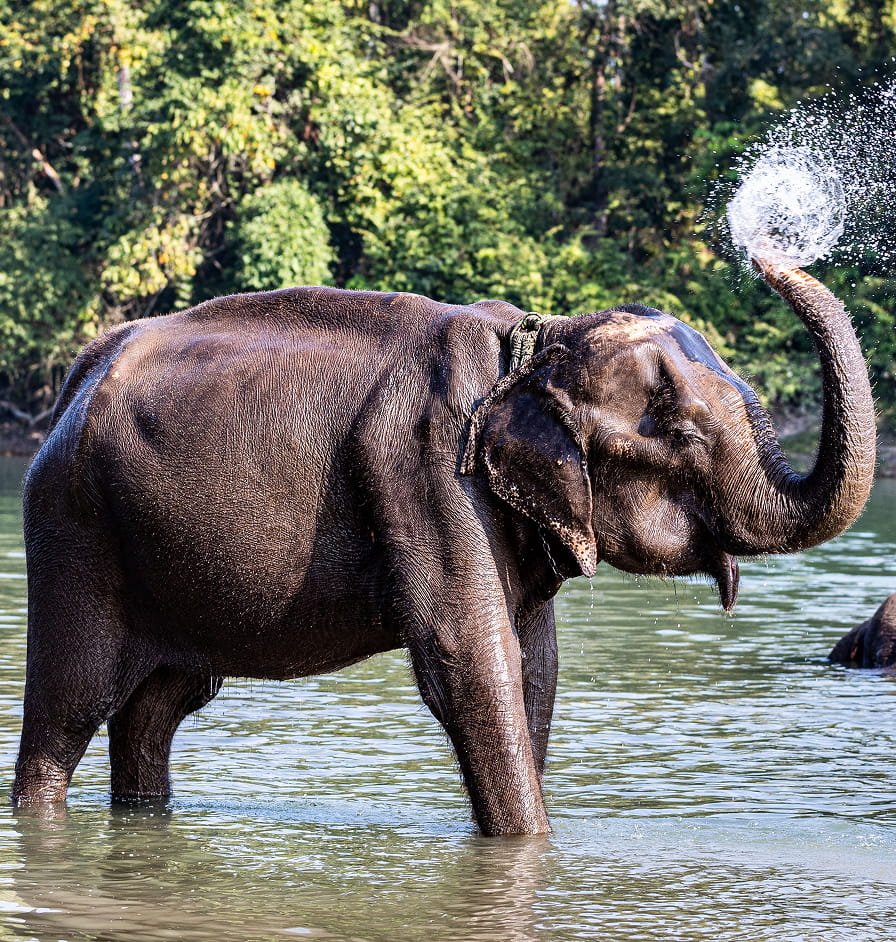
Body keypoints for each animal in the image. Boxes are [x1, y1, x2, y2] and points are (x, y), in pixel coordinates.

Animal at [12, 256, 875, 835]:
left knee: (161, 706)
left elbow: (535, 666)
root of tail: (75, 378)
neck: (536, 343)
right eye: (686, 435)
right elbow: (469, 660)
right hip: (73, 528)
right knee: (71, 706)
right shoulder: (427, 472)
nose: (766, 254)